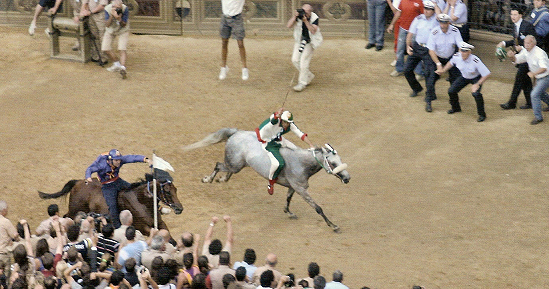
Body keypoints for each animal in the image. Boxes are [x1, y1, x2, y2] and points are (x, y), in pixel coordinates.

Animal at [37, 169, 182, 234]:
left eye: (176, 189)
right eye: (167, 191)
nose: (180, 208)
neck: (141, 202)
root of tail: (77, 182)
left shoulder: (160, 223)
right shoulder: (143, 228)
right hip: (75, 209)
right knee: (67, 216)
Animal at [182, 127, 348, 231]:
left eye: (340, 160)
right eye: (333, 163)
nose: (347, 178)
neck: (301, 163)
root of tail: (237, 133)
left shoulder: (293, 187)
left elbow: (288, 199)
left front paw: (288, 212)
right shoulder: (301, 189)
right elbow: (318, 208)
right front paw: (333, 226)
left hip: (238, 165)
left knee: (226, 171)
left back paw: (221, 179)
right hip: (235, 165)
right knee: (218, 165)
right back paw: (207, 179)